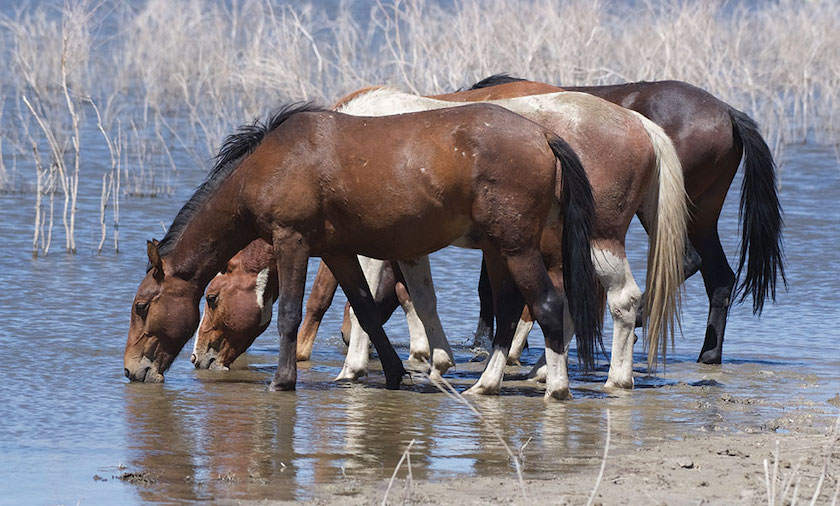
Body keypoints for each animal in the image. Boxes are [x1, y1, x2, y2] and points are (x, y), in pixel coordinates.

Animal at [123, 100, 596, 400]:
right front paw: (393, 374)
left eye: (142, 307)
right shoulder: (337, 252)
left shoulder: (292, 241)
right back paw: (486, 385)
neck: (273, 162)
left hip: (516, 247)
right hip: (498, 251)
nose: (131, 370)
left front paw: (282, 380)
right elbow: (366, 309)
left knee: (548, 305)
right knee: (510, 310)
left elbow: (290, 312)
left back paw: (556, 388)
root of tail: (544, 134)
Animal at [187, 87, 684, 396]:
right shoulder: (406, 245)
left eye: (211, 297)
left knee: (621, 300)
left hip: (598, 240)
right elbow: (418, 298)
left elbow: (359, 300)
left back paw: (613, 379)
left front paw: (353, 367)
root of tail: (638, 123)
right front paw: (436, 358)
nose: (199, 359)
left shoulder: (363, 244)